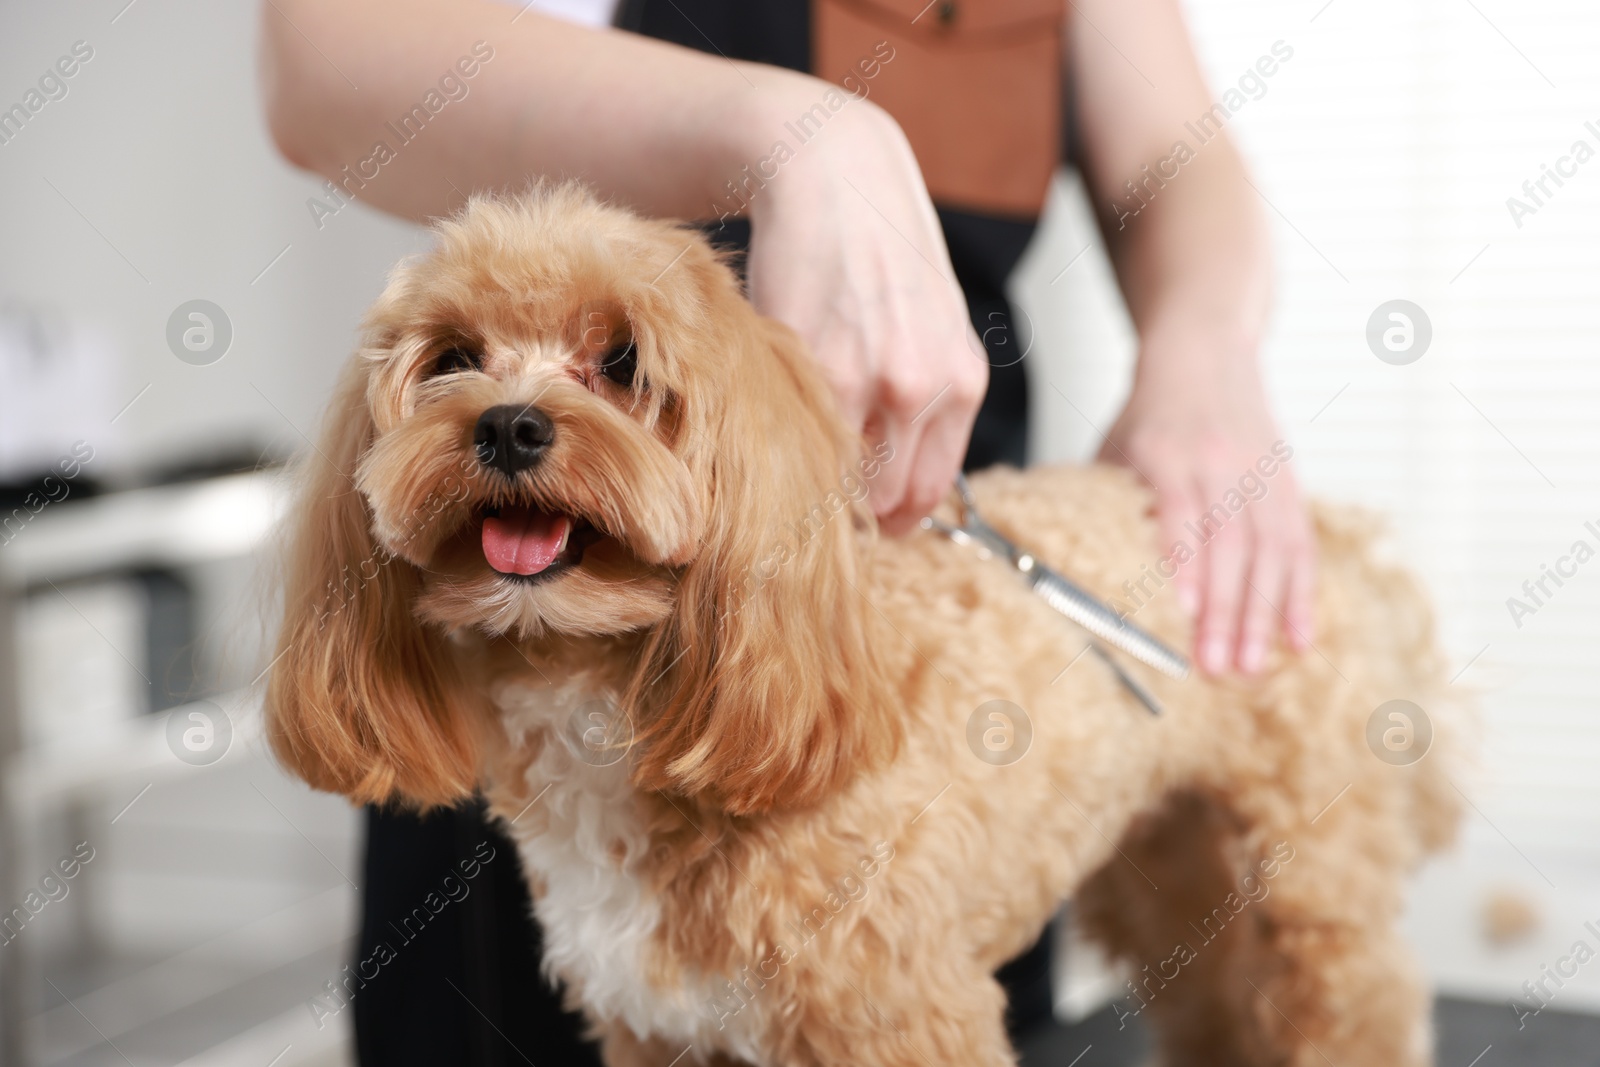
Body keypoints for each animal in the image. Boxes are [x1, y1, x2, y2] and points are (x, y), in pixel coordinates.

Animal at [265, 187, 1465, 1062]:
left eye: (622, 363)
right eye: (452, 358)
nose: (509, 426)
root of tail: (1319, 529)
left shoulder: (900, 1018)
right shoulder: (659, 1030)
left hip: (1312, 894)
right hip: (1174, 871)